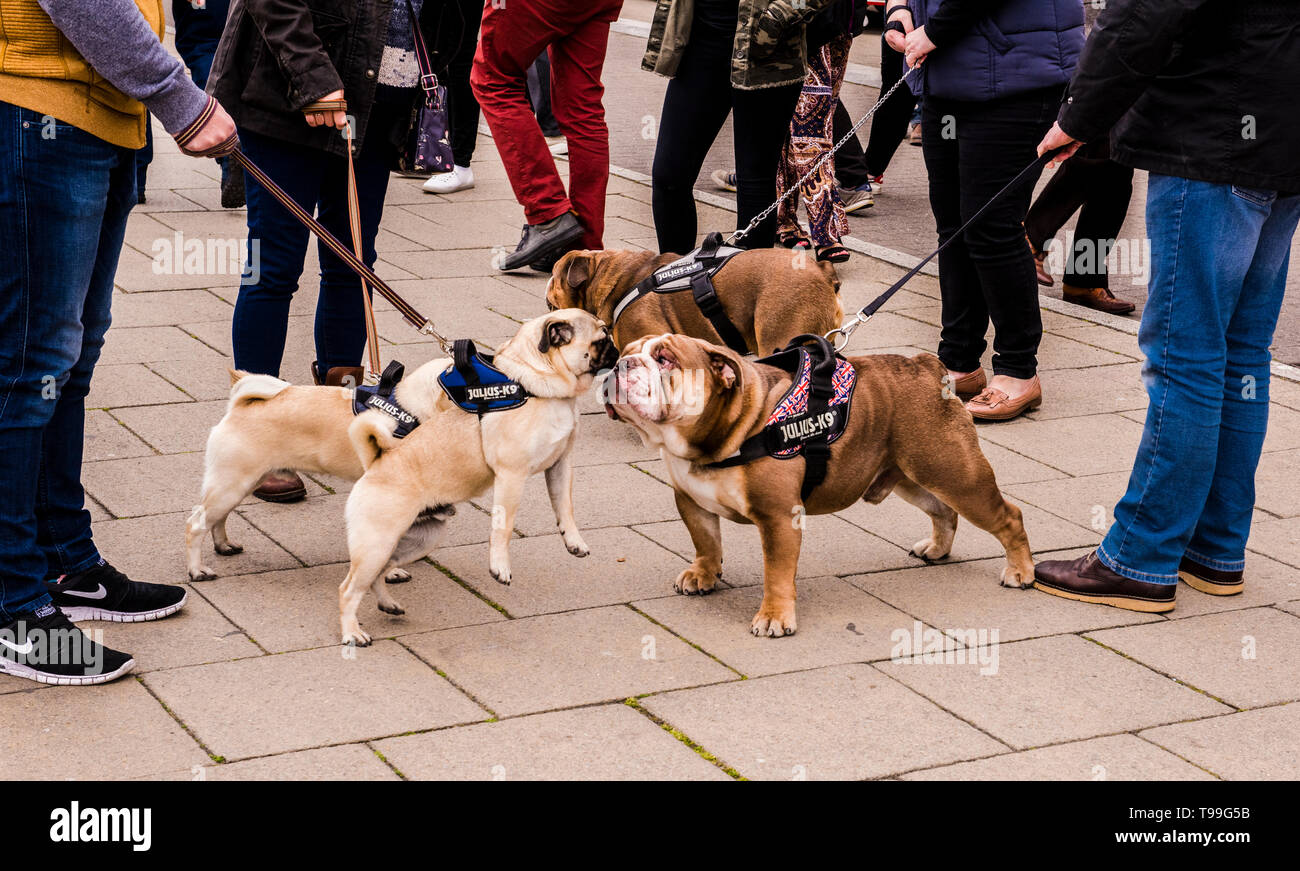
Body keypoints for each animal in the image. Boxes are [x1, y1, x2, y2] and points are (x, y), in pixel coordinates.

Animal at [338, 310, 616, 644]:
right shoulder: (511, 475)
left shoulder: (560, 465)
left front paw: (573, 540)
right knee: (348, 590)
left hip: (419, 539)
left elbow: (565, 507)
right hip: (377, 543)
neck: (536, 386)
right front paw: (500, 566)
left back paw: (388, 604)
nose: (616, 349)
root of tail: (376, 463)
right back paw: (352, 633)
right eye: (600, 339)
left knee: (379, 574)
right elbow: (503, 527)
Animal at [600, 338, 1034, 637]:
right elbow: (706, 542)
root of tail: (927, 367)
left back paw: (1021, 571)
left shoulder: (778, 518)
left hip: (956, 474)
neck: (725, 433)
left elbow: (777, 573)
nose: (621, 363)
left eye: (665, 359)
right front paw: (703, 575)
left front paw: (774, 617)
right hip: (912, 475)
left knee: (1008, 516)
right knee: (943, 510)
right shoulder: (690, 500)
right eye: (627, 350)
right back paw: (937, 549)